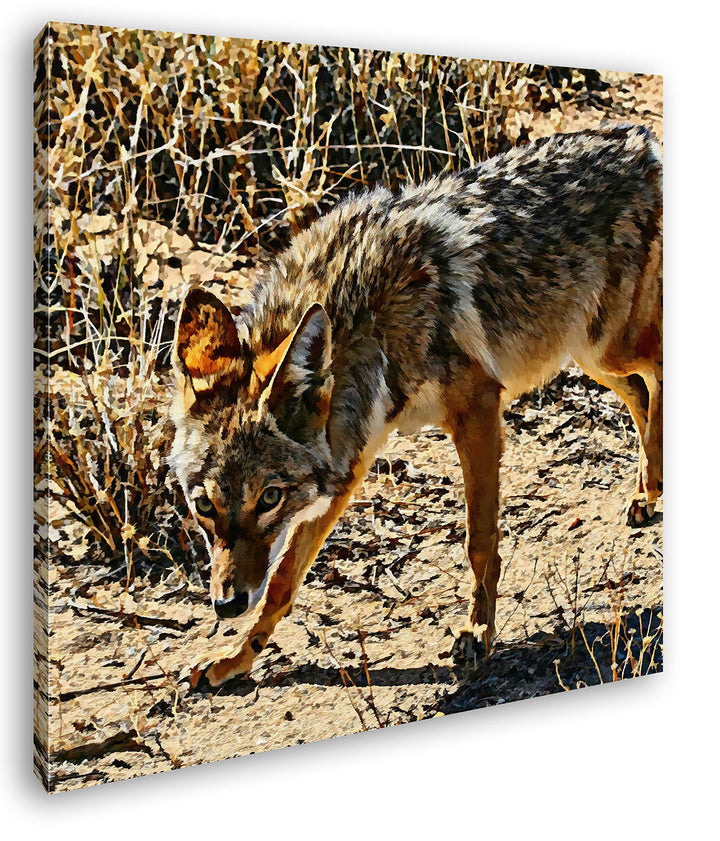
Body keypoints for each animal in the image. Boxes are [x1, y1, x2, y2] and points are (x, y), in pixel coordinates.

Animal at [170, 125, 663, 686]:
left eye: (269, 498)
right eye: (204, 506)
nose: (227, 605)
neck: (367, 321)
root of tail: (639, 139)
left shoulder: (477, 409)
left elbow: (479, 541)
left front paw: (478, 632)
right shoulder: (348, 462)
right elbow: (281, 584)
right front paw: (234, 659)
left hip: (609, 347)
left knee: (659, 373)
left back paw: (656, 487)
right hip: (589, 355)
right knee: (642, 393)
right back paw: (647, 493)